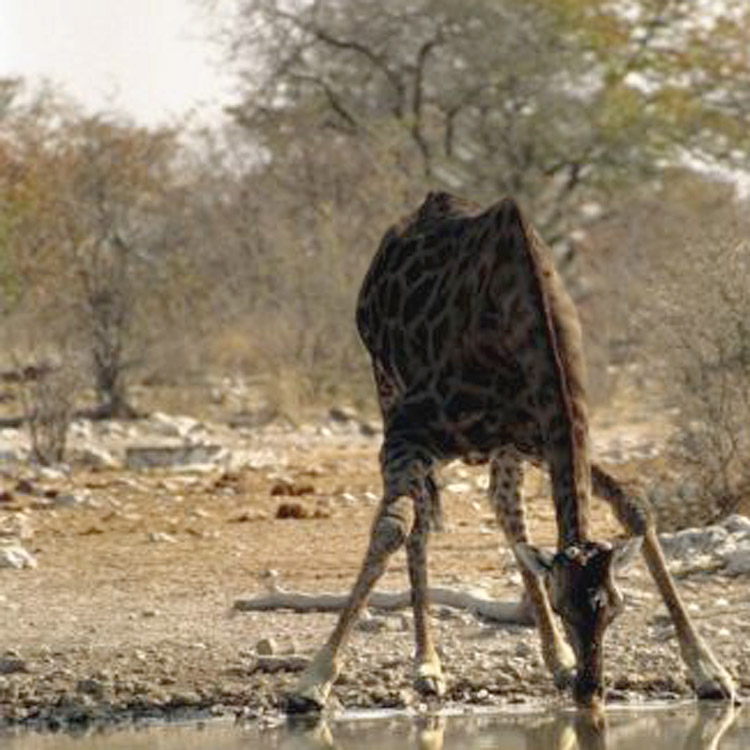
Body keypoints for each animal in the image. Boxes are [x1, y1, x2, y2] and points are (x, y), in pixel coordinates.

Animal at [285, 192, 735, 714]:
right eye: (562, 606)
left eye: (617, 609)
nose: (591, 691)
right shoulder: (408, 431)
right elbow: (392, 528)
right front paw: (312, 681)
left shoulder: (541, 435)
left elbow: (633, 503)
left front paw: (709, 671)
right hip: (388, 388)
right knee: (421, 523)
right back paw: (428, 665)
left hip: (505, 448)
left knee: (506, 511)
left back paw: (556, 661)